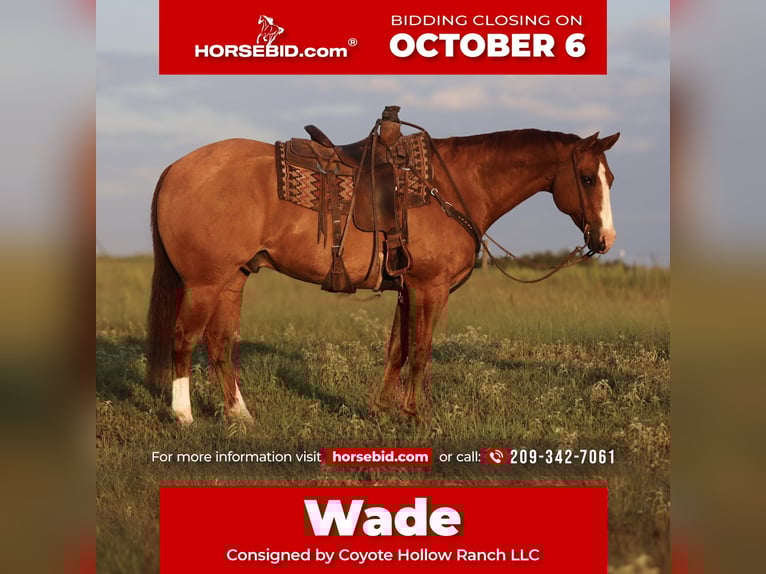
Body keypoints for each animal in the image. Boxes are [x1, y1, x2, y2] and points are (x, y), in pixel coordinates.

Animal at [146, 126, 620, 425]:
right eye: (585, 178)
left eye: (610, 177)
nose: (605, 238)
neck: (451, 186)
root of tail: (175, 168)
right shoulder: (430, 288)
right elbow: (422, 351)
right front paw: (415, 415)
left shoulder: (407, 289)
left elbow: (397, 350)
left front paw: (381, 411)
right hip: (205, 283)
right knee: (184, 339)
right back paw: (184, 416)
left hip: (234, 279)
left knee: (219, 343)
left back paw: (240, 415)